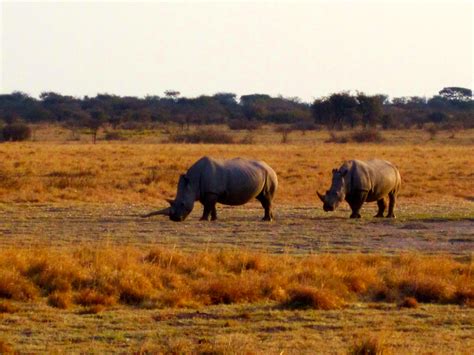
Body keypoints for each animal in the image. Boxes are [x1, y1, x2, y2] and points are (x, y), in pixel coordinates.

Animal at [143, 156, 280, 222]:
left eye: (182, 204)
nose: (174, 219)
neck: (192, 182)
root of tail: (271, 167)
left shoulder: (211, 192)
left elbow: (208, 206)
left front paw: (203, 219)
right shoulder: (206, 192)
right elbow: (210, 206)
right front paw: (214, 219)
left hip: (269, 175)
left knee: (266, 198)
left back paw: (266, 220)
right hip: (262, 174)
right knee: (262, 198)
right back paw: (269, 218)